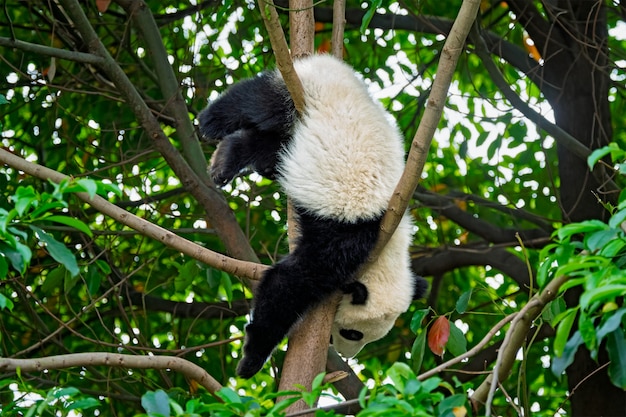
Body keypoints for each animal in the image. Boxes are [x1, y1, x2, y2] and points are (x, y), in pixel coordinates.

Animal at [197, 54, 426, 376]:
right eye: (353, 334)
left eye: (368, 339)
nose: (346, 355)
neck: (386, 247)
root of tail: (330, 63)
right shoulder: (345, 233)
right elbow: (293, 281)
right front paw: (252, 358)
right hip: (301, 92)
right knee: (256, 103)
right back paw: (211, 124)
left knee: (270, 146)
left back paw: (227, 159)